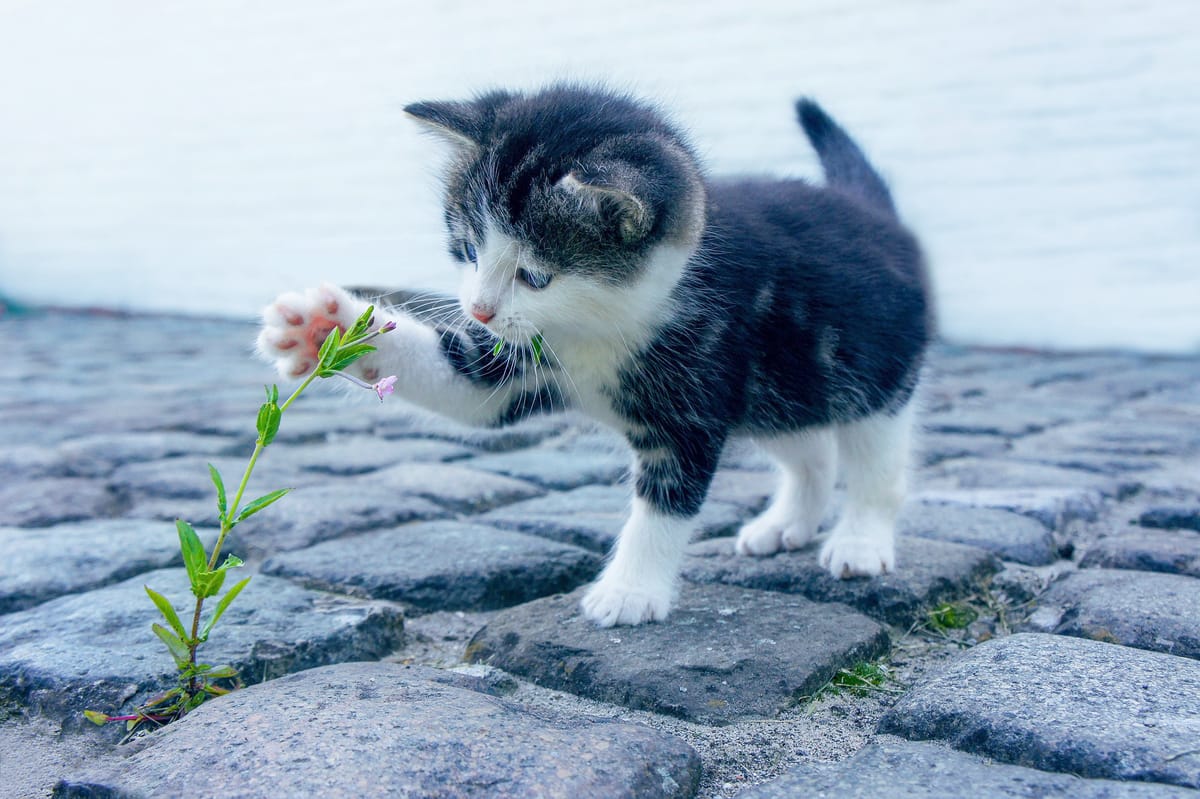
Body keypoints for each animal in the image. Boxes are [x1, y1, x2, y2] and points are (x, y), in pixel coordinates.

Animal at [258, 83, 931, 623]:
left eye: (535, 276)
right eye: (469, 250)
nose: (478, 309)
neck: (598, 326)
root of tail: (874, 213)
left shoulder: (694, 396)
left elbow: (665, 504)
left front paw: (630, 592)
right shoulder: (518, 362)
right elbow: (467, 387)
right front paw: (325, 327)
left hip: (872, 372)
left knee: (875, 462)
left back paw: (860, 541)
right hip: (779, 386)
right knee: (809, 448)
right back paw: (787, 523)